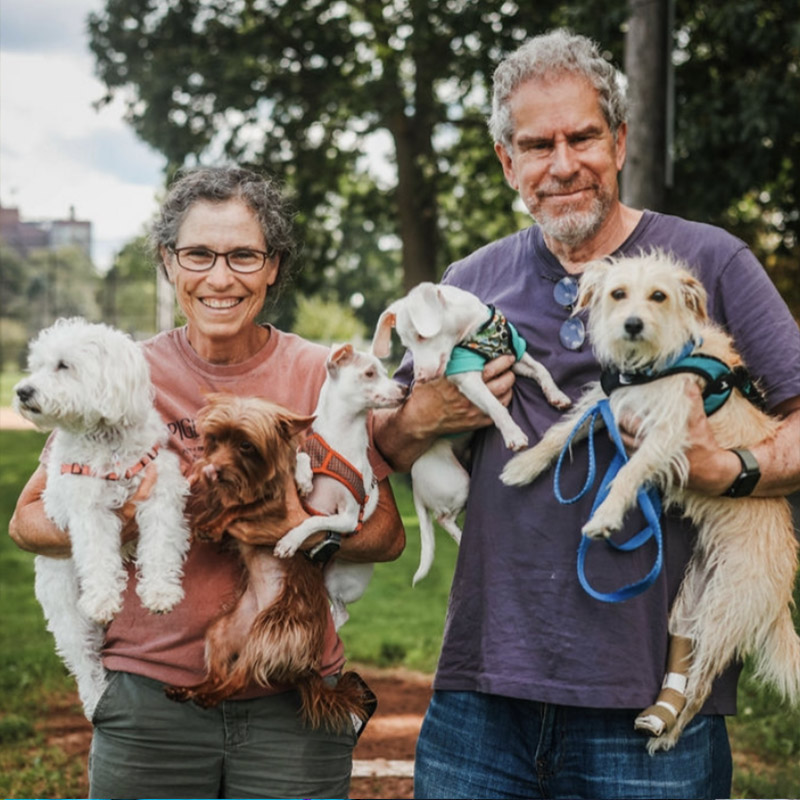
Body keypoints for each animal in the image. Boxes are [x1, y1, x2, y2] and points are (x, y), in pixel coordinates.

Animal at [13, 318, 191, 720]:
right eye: (37, 365)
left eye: (63, 365)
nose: (21, 391)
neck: (106, 438)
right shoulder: (88, 509)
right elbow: (96, 556)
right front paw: (103, 598)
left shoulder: (160, 496)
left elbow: (160, 550)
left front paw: (160, 592)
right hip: (67, 615)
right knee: (86, 666)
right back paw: (95, 701)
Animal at [168, 394, 372, 732]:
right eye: (215, 440)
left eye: (246, 445)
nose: (214, 469)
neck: (248, 480)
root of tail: (304, 668)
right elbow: (222, 502)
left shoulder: (275, 508)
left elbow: (239, 507)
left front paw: (213, 523)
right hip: (221, 631)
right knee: (219, 675)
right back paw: (190, 690)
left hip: (273, 632)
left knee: (238, 679)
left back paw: (208, 697)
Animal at [504, 253, 796, 752]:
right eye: (618, 294)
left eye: (658, 296)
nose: (633, 324)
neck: (651, 365)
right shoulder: (609, 402)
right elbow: (562, 433)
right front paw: (525, 465)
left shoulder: (668, 434)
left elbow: (628, 472)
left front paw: (604, 515)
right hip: (693, 597)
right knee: (683, 646)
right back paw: (661, 712)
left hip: (727, 610)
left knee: (701, 687)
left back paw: (668, 735)